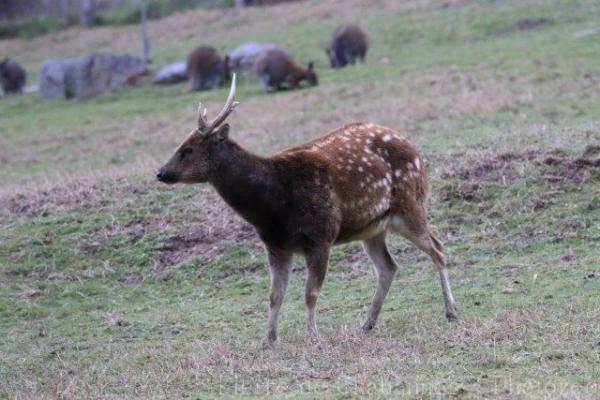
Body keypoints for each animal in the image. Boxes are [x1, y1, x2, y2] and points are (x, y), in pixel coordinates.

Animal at [157, 74, 458, 346]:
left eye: (188, 149)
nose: (161, 173)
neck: (272, 208)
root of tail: (415, 149)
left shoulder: (321, 236)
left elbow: (310, 293)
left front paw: (313, 336)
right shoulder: (275, 246)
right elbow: (274, 296)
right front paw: (268, 340)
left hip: (410, 205)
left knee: (438, 248)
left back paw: (451, 312)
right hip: (372, 227)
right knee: (389, 266)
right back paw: (367, 323)